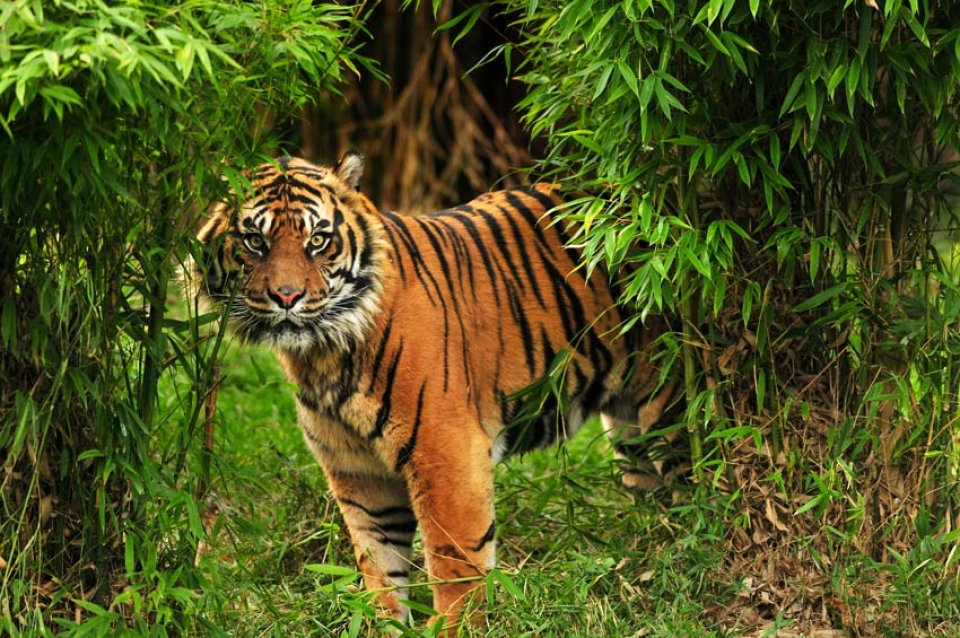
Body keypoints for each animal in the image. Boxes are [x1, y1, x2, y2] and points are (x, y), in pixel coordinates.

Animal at [190, 152, 685, 631]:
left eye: (318, 241)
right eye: (255, 242)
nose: (287, 297)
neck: (322, 353)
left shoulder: (447, 453)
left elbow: (455, 566)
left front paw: (454, 626)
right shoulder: (358, 472)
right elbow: (380, 570)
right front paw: (382, 626)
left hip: (672, 401)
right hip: (631, 430)